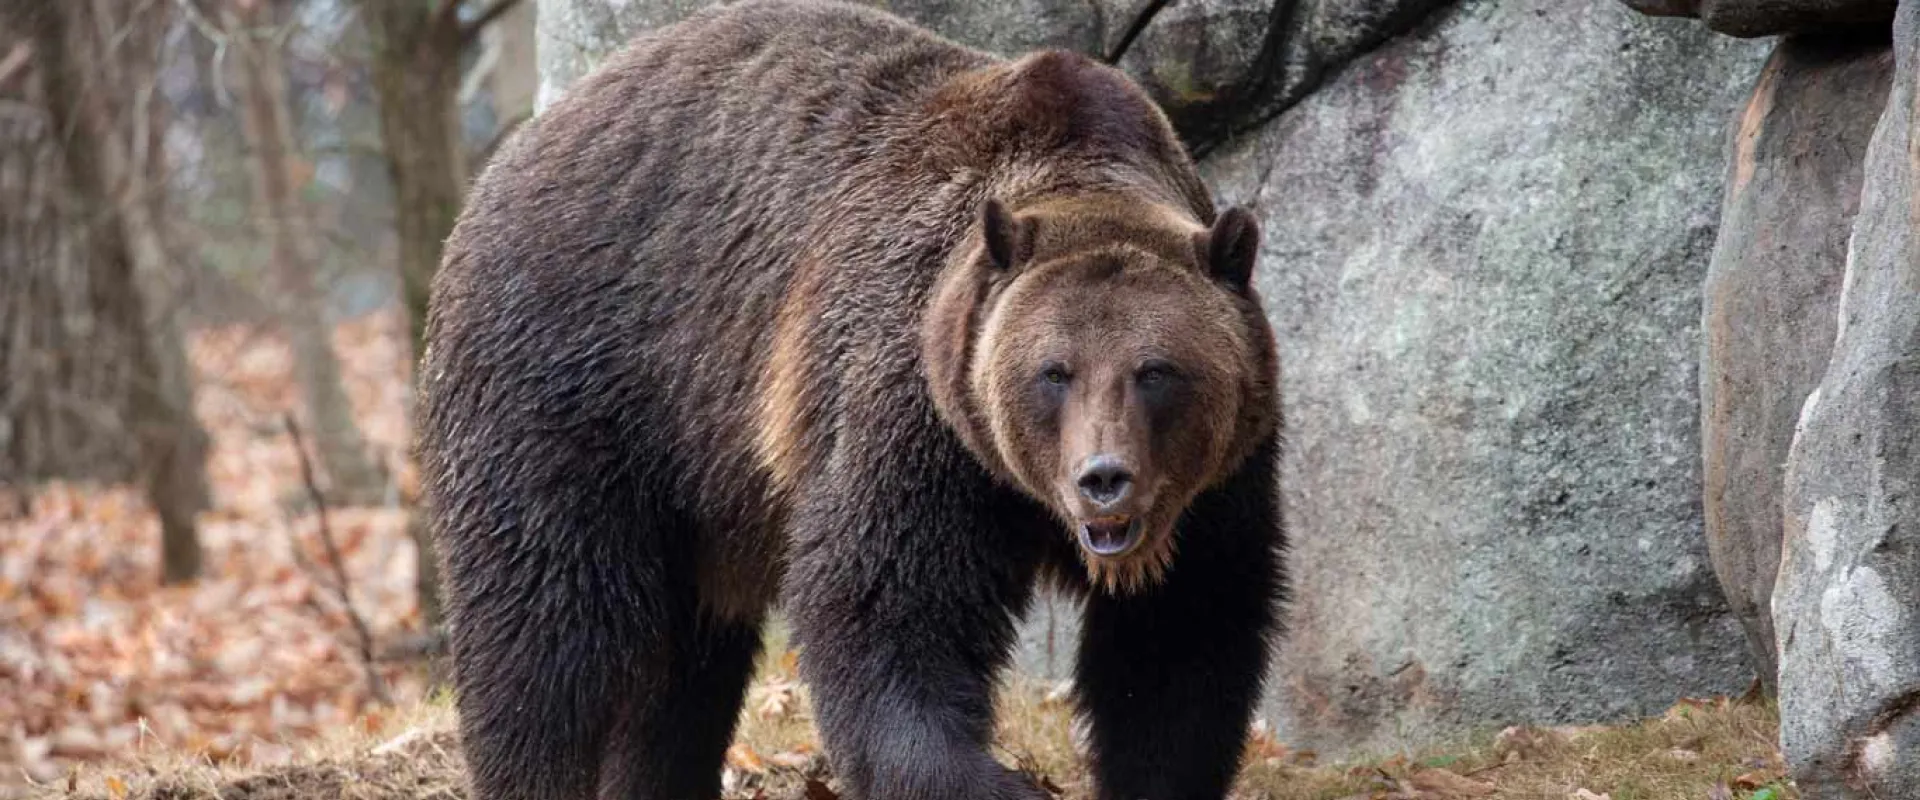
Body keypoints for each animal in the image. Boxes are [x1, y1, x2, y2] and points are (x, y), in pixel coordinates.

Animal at [418, 2, 1286, 799]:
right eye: (1054, 372)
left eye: (1156, 370)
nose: (1103, 478)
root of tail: (519, 146)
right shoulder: (910, 407)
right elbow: (882, 608)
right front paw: (997, 781)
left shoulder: (1217, 484)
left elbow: (1185, 641)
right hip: (580, 374)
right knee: (549, 623)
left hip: (701, 486)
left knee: (683, 667)